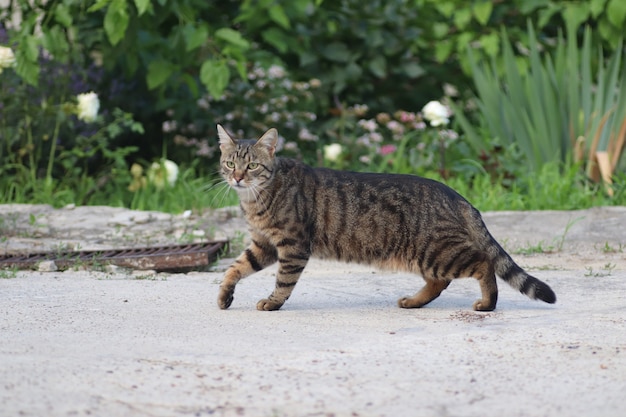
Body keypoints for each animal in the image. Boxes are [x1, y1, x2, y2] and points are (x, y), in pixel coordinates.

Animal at [216, 125, 556, 310]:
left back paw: (487, 304)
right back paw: (414, 301)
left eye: (253, 166)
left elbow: (284, 281)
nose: (237, 178)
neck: (255, 199)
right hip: (426, 256)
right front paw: (224, 295)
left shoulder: (292, 245)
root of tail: (457, 195)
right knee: (440, 281)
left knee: (483, 263)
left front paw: (273, 302)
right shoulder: (263, 245)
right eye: (230, 163)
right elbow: (235, 268)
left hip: (436, 252)